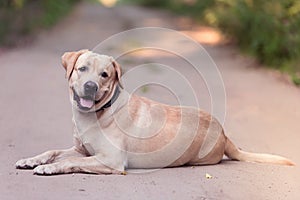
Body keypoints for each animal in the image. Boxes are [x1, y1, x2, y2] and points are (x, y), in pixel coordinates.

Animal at [15, 48, 294, 175]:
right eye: (82, 69)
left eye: (105, 75)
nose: (91, 86)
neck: (96, 114)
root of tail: (225, 134)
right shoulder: (82, 149)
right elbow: (53, 151)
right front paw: (32, 160)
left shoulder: (111, 160)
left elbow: (72, 162)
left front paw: (50, 168)